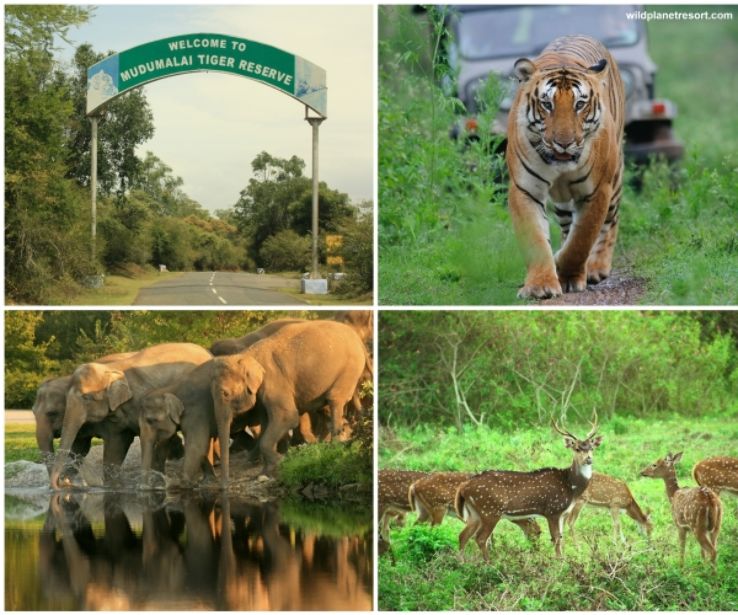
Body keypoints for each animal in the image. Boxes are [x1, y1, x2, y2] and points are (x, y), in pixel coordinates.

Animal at [50, 342, 212, 490]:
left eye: (86, 398)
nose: (62, 483)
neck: (112, 369)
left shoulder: (143, 399)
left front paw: (154, 484)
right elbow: (117, 444)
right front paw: (113, 486)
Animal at [211, 319, 370, 483]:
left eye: (225, 393)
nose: (225, 483)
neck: (247, 354)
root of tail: (359, 340)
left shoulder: (274, 381)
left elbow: (287, 417)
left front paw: (281, 461)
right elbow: (266, 422)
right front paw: (264, 473)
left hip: (349, 369)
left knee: (335, 400)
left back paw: (333, 446)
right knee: (325, 407)